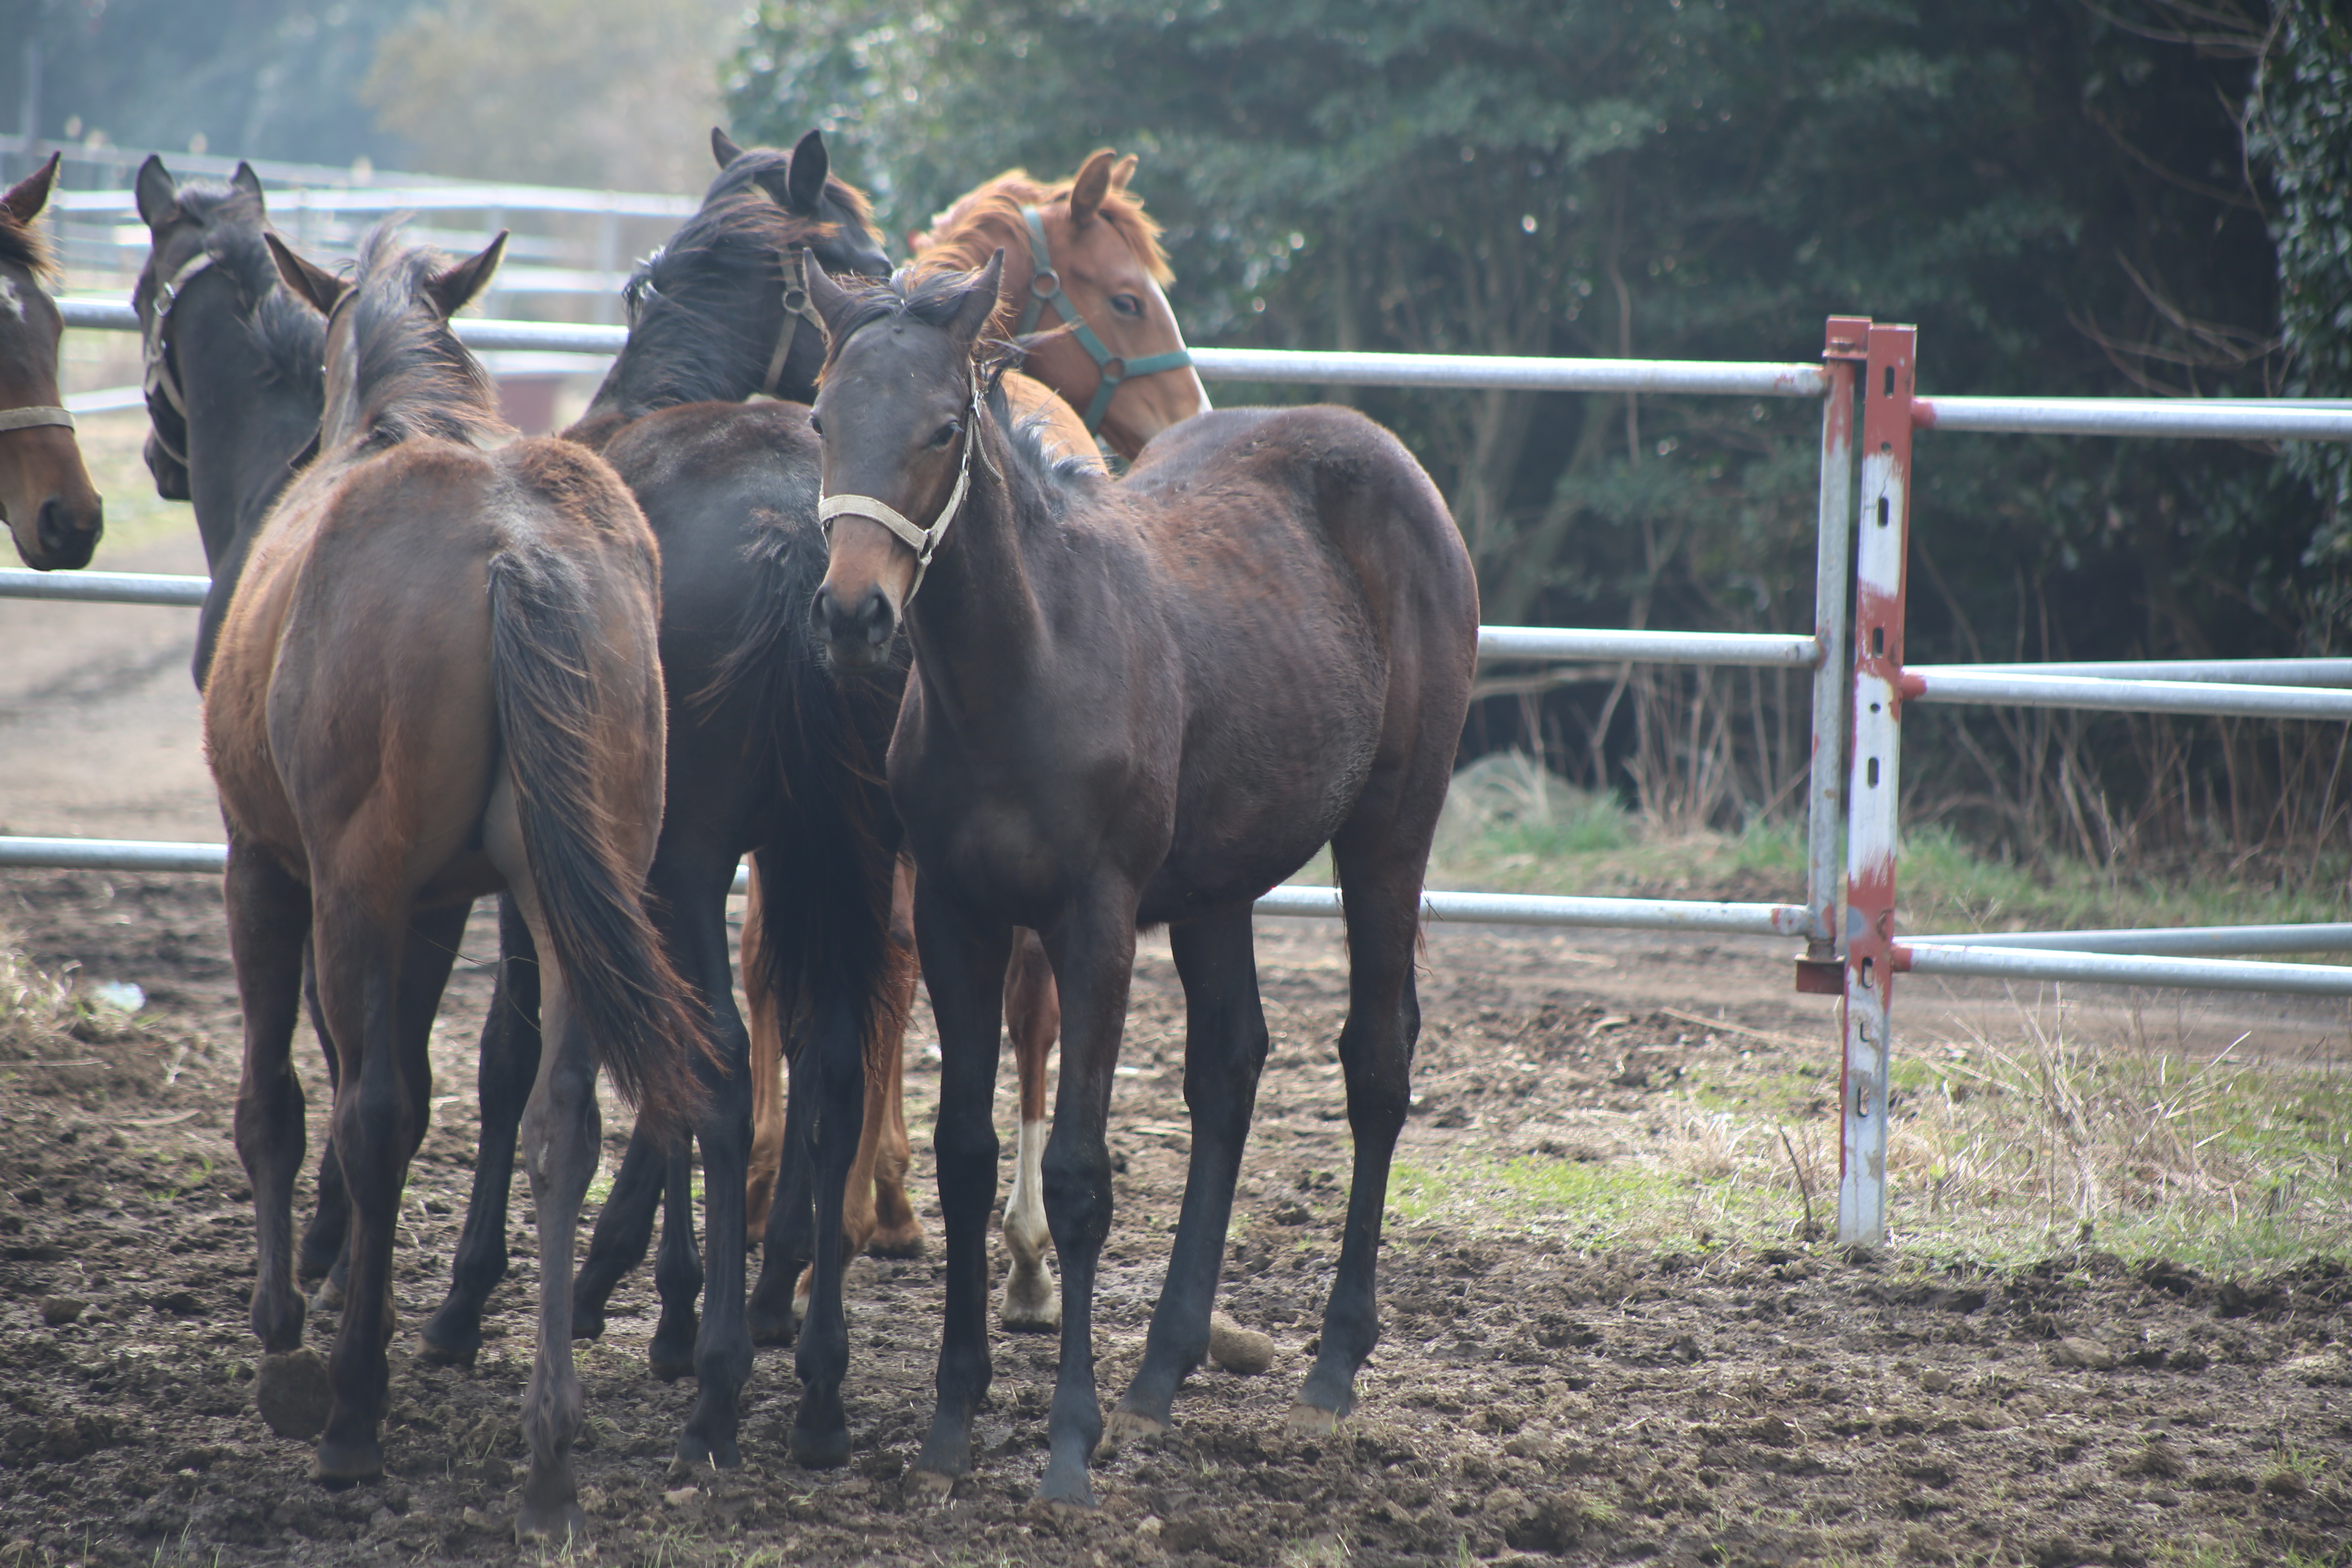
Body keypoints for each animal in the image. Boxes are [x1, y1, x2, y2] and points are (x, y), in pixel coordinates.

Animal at [212, 227, 701, 1542]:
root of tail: (515, 550)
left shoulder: (267, 865)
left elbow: (286, 1095)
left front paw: (292, 1319)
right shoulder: (438, 907)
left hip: (354, 890)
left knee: (371, 1112)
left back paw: (350, 1413)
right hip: (573, 896)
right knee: (560, 1123)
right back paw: (550, 1450)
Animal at [804, 257, 1468, 1504]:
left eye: (944, 425)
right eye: (820, 420)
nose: (852, 615)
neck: (1024, 668)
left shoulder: (1096, 922)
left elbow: (1076, 1174)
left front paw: (1069, 1442)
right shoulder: (958, 919)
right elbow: (967, 1151)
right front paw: (952, 1419)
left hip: (1389, 831)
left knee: (1375, 1059)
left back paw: (1333, 1362)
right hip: (1216, 885)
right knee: (1231, 1067)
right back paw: (1162, 1366)